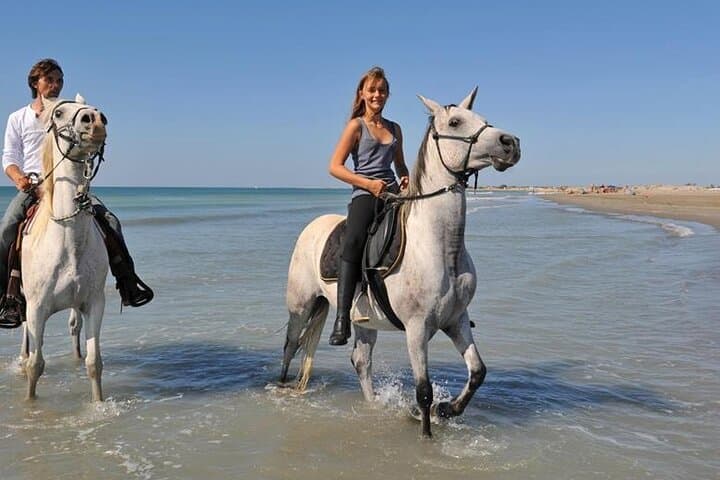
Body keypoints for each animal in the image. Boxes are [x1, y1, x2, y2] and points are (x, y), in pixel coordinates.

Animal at [19, 94, 109, 401]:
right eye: (59, 113)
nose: (96, 120)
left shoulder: (93, 303)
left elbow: (94, 363)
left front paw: (98, 404)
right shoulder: (37, 308)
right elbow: (36, 365)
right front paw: (29, 403)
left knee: (74, 328)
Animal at [280, 88, 521, 437]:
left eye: (483, 118)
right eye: (455, 122)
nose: (510, 143)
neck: (440, 248)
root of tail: (312, 227)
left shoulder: (456, 319)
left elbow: (478, 371)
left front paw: (447, 409)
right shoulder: (417, 328)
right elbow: (424, 390)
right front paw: (426, 432)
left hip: (363, 320)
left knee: (361, 361)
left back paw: (372, 406)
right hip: (301, 305)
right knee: (291, 345)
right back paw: (282, 387)